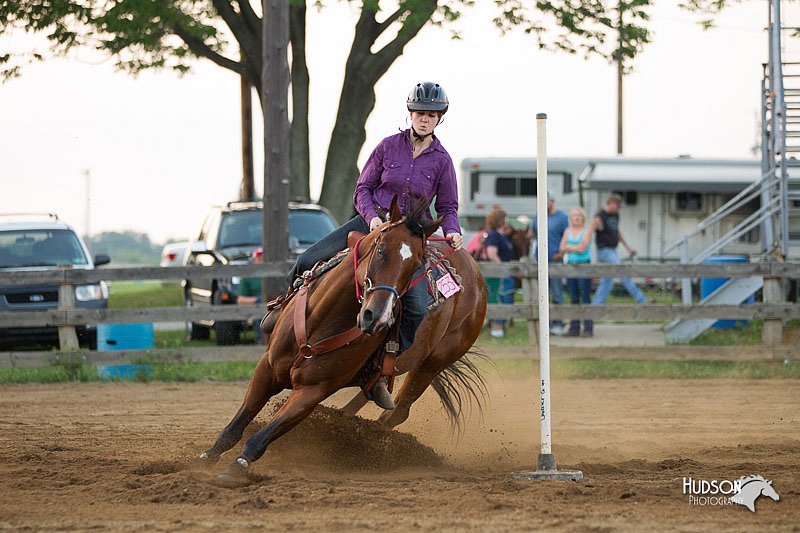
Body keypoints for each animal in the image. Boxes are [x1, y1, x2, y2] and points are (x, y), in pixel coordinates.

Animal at [200, 198, 488, 482]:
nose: (376, 316)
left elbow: (262, 437)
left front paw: (237, 467)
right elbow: (237, 423)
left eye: (416, 264)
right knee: (373, 394)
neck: (321, 324)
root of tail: (474, 272)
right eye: (380, 250)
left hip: (432, 364)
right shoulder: (267, 368)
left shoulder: (313, 390)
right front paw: (208, 456)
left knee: (397, 412)